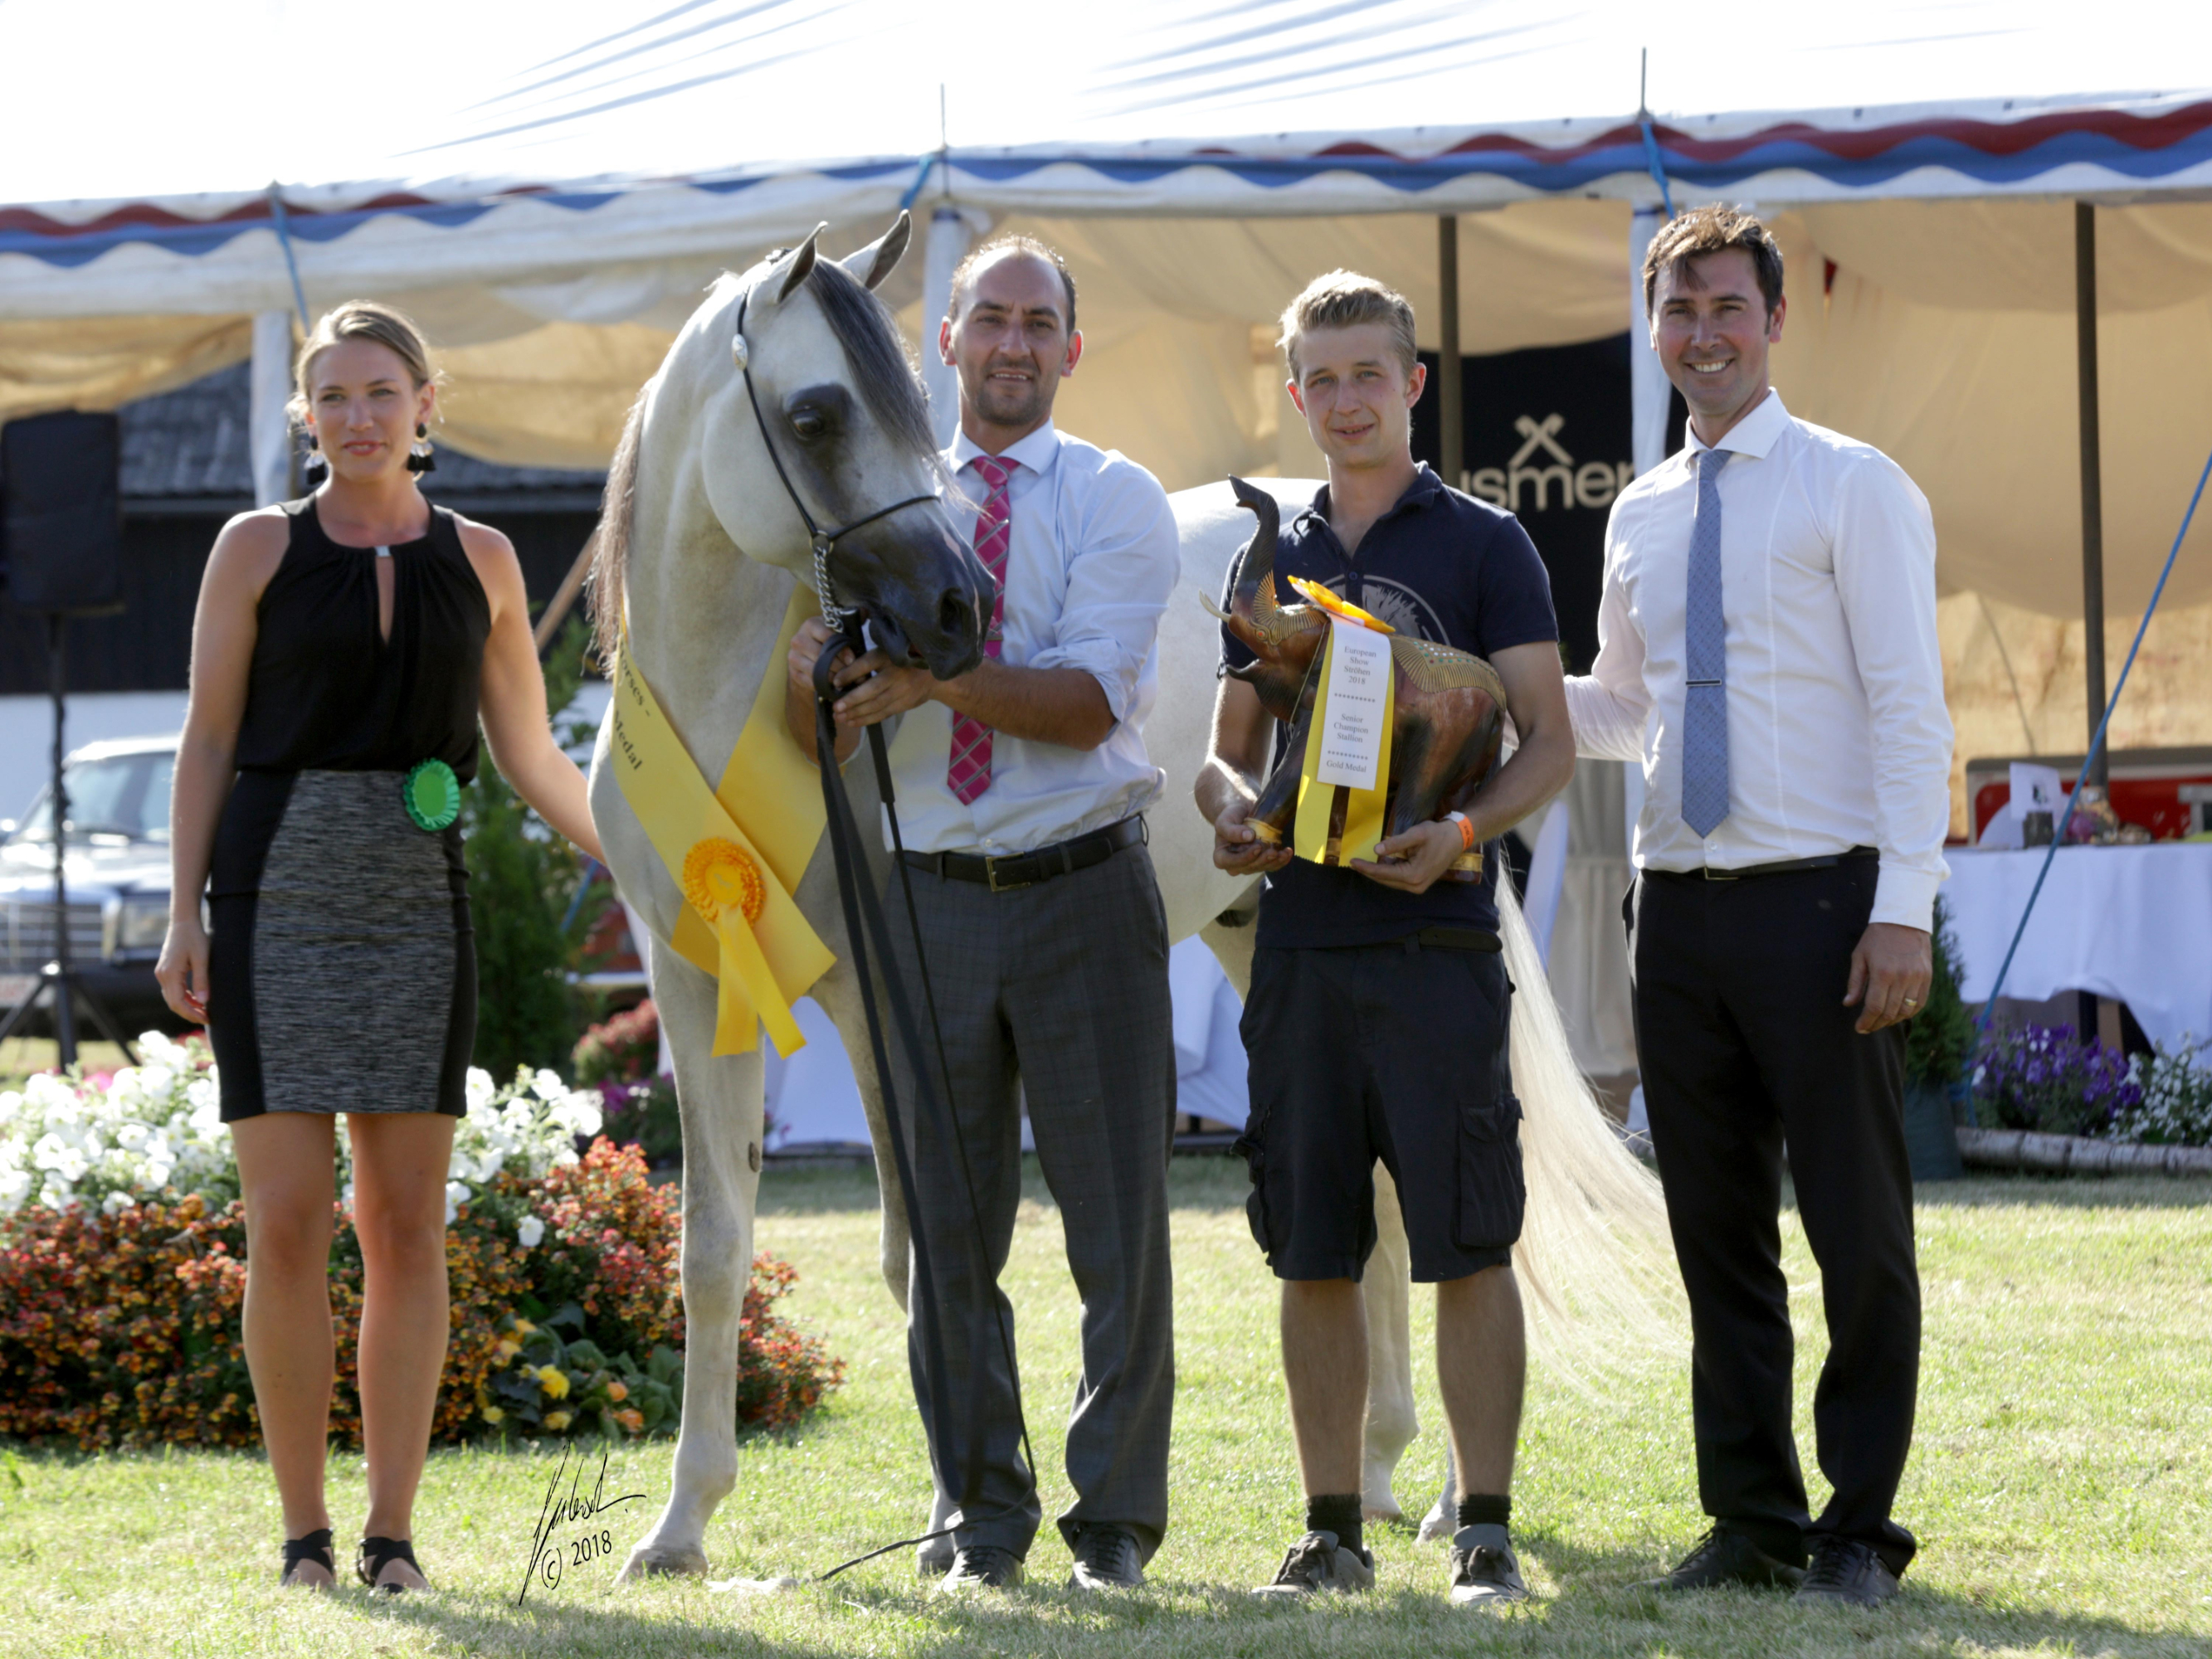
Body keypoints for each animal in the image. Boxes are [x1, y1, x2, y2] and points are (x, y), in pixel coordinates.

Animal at [589, 212, 1674, 1582]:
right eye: (819, 414)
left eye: (895, 409)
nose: (956, 610)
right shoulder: (694, 984)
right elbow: (721, 1252)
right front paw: (680, 1529)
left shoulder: (887, 1010)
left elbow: (918, 1254)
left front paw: (948, 1519)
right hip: (1251, 927)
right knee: (1373, 1198)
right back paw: (1373, 1472)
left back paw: (1437, 1502)